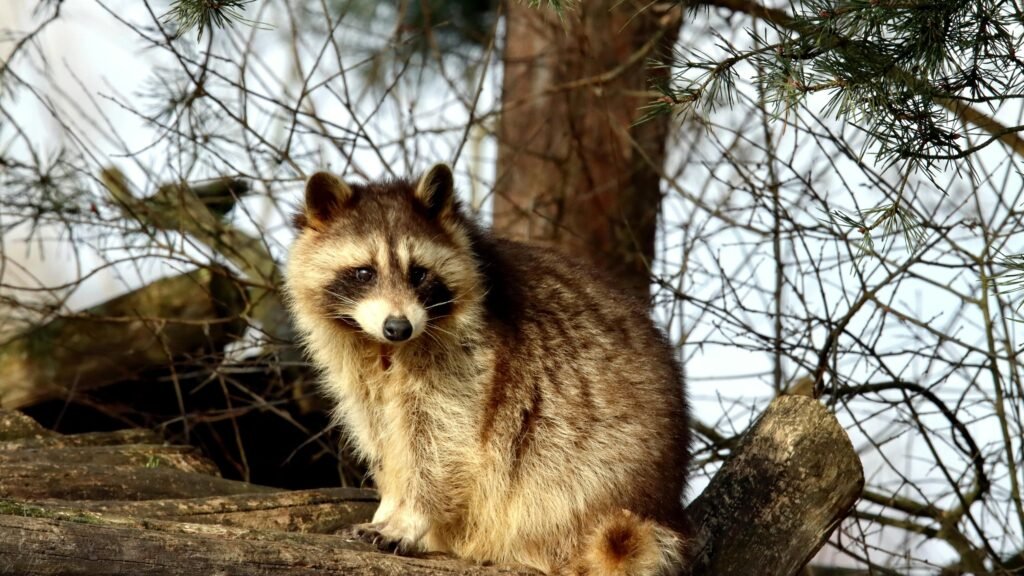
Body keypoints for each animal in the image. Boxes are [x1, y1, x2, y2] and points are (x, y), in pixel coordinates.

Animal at [284, 164, 692, 575]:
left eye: (419, 274)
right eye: (364, 273)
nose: (398, 327)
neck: (383, 347)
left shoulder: (471, 361)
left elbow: (440, 444)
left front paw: (410, 516)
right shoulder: (359, 373)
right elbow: (383, 437)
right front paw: (388, 504)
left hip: (590, 483)